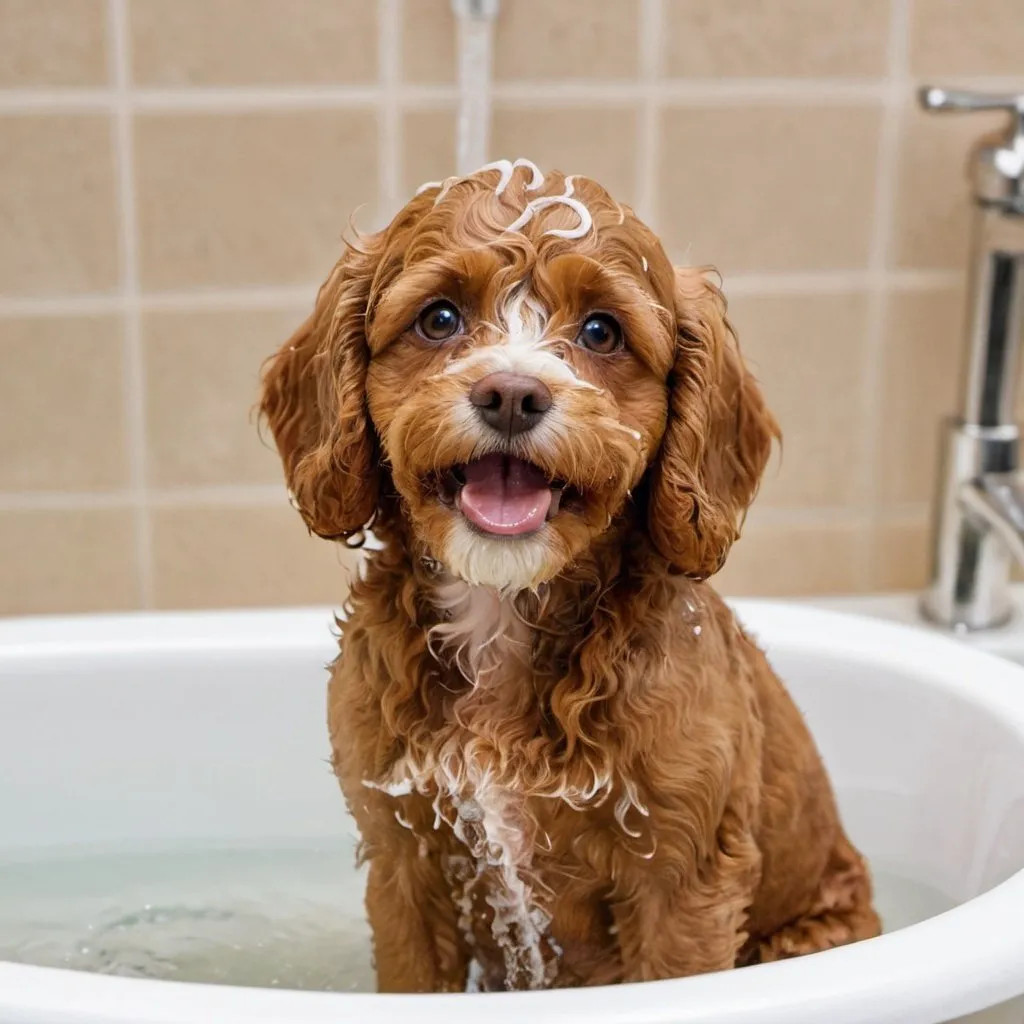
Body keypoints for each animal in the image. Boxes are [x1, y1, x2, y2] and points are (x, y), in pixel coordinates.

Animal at [258, 157, 880, 991]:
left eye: (601, 331)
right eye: (439, 319)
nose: (512, 394)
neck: (502, 613)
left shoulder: (682, 883)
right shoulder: (403, 857)